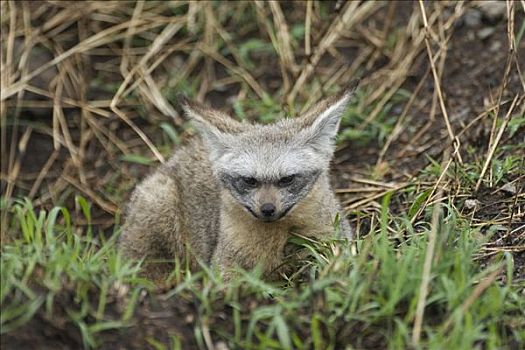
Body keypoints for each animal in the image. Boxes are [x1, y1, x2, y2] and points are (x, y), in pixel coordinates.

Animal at [118, 80, 356, 280]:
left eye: (287, 179)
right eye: (250, 180)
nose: (267, 209)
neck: (275, 239)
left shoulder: (336, 241)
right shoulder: (223, 265)